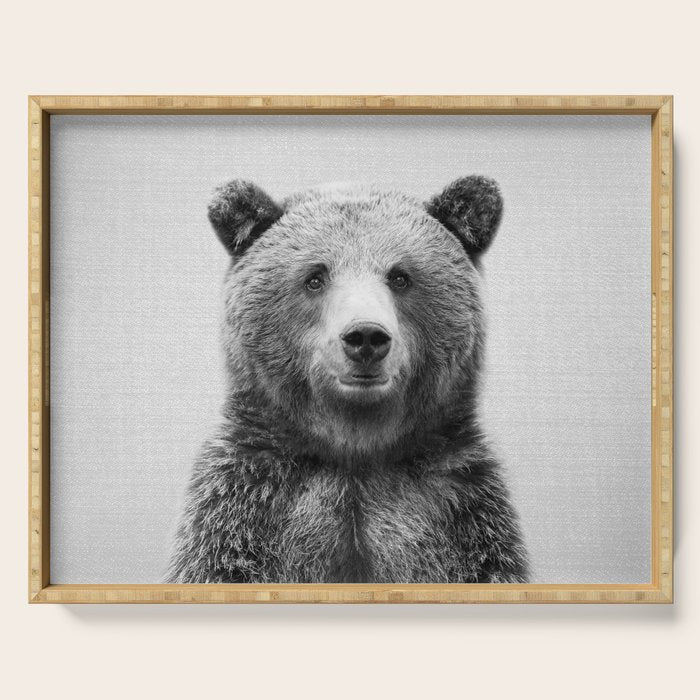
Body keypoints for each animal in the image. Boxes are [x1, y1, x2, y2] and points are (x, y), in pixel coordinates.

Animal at [167, 176, 529, 584]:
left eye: (400, 277)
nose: (366, 336)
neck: (355, 451)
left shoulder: (462, 515)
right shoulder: (242, 510)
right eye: (315, 277)